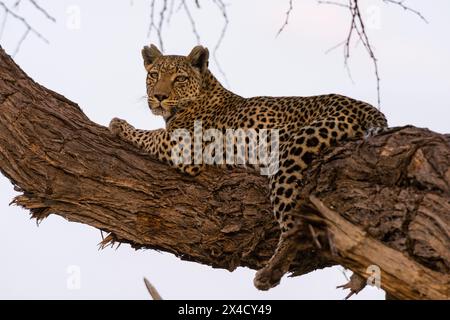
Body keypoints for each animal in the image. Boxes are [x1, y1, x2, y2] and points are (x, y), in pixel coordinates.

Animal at [109, 44, 386, 290]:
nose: (159, 96)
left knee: (293, 224)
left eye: (180, 79)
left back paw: (270, 273)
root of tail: (366, 107)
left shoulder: (183, 145)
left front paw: (118, 125)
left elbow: (151, 135)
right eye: (154, 75)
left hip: (289, 152)